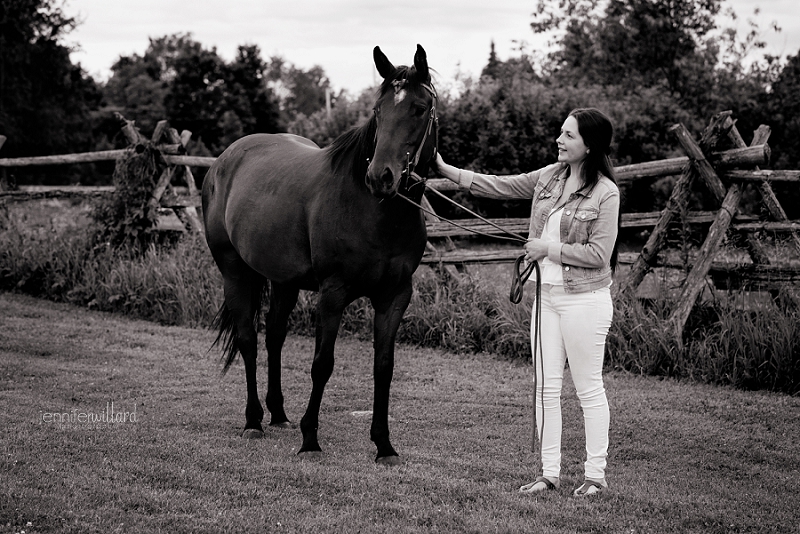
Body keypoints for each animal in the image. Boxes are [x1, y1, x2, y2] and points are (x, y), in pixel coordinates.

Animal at [200, 45, 438, 464]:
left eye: (420, 108)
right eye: (378, 110)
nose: (380, 177)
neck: (375, 211)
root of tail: (223, 161)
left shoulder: (395, 297)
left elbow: (384, 367)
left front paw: (384, 445)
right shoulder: (333, 294)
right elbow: (322, 364)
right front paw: (310, 438)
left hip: (283, 280)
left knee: (274, 336)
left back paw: (278, 414)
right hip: (235, 271)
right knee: (248, 340)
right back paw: (253, 421)